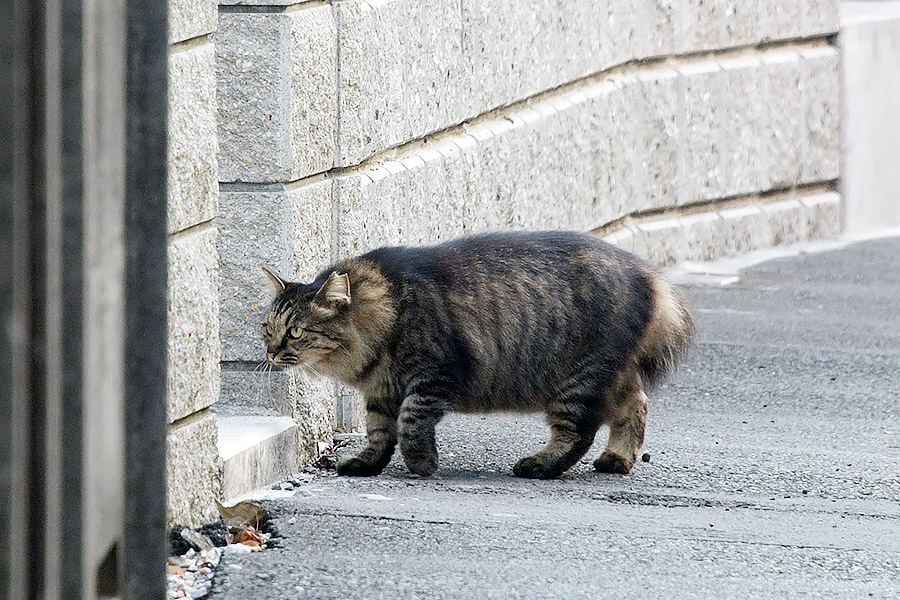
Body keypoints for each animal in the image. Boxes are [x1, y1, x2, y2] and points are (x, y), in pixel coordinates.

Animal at [260, 230, 696, 478]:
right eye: (268, 329)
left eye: (295, 332)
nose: (271, 352)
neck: (386, 310)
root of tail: (650, 275)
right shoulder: (381, 389)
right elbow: (379, 431)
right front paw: (368, 464)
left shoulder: (431, 376)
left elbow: (410, 423)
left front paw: (421, 466)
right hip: (611, 374)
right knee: (636, 406)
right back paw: (617, 460)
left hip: (579, 378)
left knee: (578, 433)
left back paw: (539, 466)